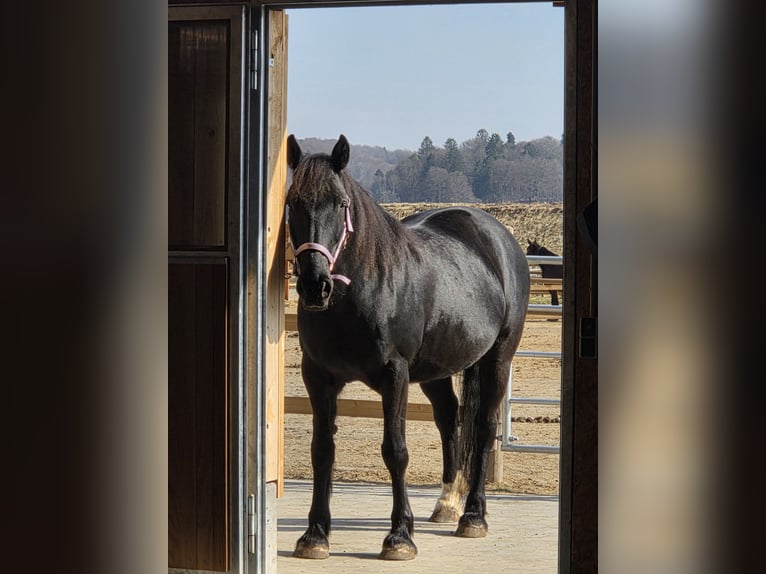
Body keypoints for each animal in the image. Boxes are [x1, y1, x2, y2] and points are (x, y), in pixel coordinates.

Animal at [286, 134, 530, 561]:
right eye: (292, 203)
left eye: (341, 203)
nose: (316, 285)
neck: (358, 292)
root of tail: (500, 239)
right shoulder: (318, 377)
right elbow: (322, 449)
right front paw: (315, 534)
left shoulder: (394, 375)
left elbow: (395, 450)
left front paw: (399, 536)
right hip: (438, 368)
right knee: (450, 418)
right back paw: (447, 503)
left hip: (497, 360)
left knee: (484, 426)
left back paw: (473, 516)